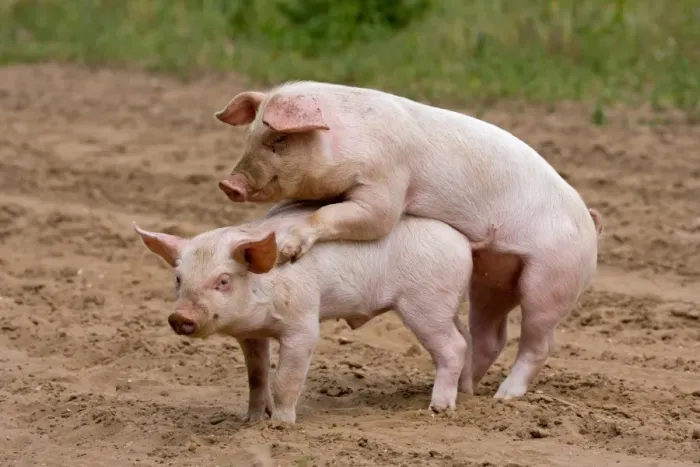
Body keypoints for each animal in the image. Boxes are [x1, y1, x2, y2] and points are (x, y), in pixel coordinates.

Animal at [133, 201, 494, 423]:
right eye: (179, 278)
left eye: (223, 280)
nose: (180, 317)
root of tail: (464, 242)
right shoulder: (250, 335)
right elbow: (256, 376)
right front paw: (250, 420)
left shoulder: (303, 321)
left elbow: (285, 378)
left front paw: (280, 426)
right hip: (445, 303)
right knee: (466, 338)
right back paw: (467, 393)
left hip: (425, 303)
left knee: (453, 346)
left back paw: (438, 408)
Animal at [214, 81, 604, 400]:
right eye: (250, 137)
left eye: (278, 139)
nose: (229, 184)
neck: (344, 138)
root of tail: (591, 222)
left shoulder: (384, 186)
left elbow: (364, 217)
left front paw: (288, 251)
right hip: (491, 279)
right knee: (490, 337)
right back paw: (470, 392)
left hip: (551, 279)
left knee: (540, 342)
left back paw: (503, 397)